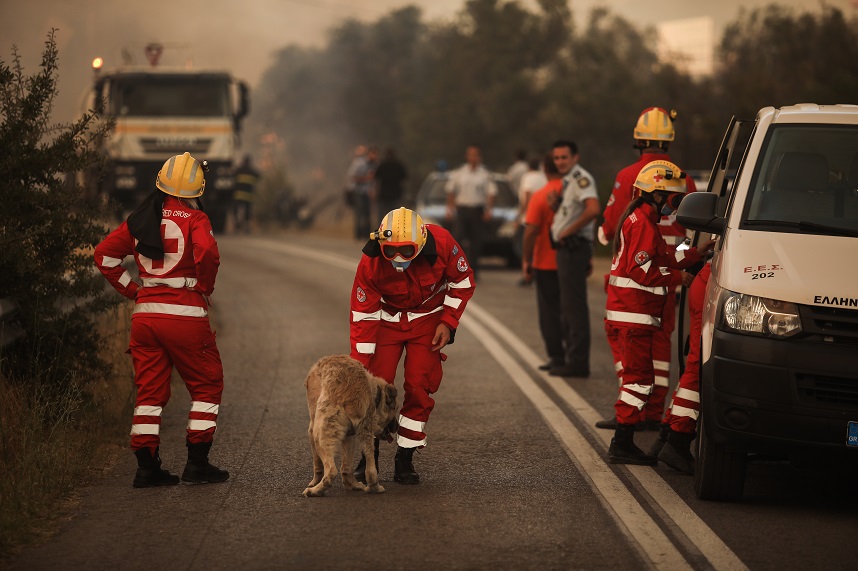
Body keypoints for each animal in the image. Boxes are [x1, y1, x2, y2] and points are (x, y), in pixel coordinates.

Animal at [302, 356, 396, 498]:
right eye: (395, 409)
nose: (397, 427)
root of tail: (356, 391)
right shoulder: (351, 434)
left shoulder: (311, 428)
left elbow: (317, 464)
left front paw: (314, 482)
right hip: (361, 434)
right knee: (367, 468)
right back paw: (369, 486)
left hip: (321, 434)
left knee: (331, 471)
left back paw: (315, 491)